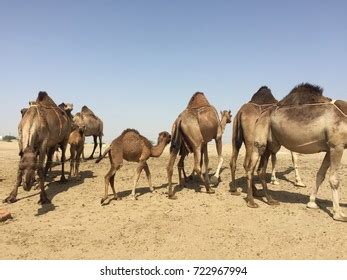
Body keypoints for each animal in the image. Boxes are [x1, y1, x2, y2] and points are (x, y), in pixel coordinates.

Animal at [247, 82, 347, 222]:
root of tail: (262, 114)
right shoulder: (337, 146)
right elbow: (334, 179)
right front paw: (339, 214)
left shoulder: (329, 149)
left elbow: (320, 175)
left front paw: (312, 203)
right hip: (260, 137)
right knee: (251, 165)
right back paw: (251, 201)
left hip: (271, 142)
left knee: (261, 169)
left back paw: (270, 200)